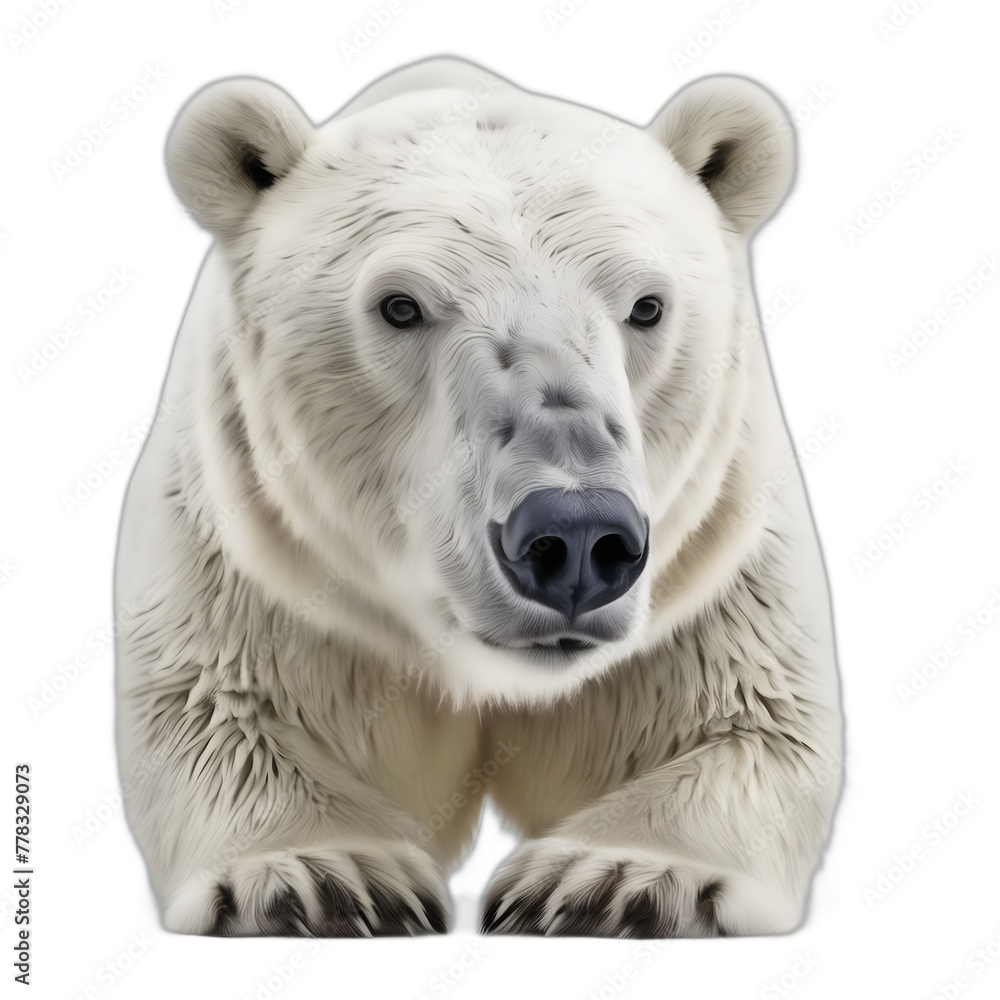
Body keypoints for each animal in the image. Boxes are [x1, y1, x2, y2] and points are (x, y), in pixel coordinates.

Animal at [114, 56, 843, 938]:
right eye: (400, 305)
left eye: (647, 306)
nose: (575, 538)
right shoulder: (246, 549)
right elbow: (208, 710)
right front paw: (325, 877)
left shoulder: (715, 561)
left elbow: (758, 719)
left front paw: (616, 879)